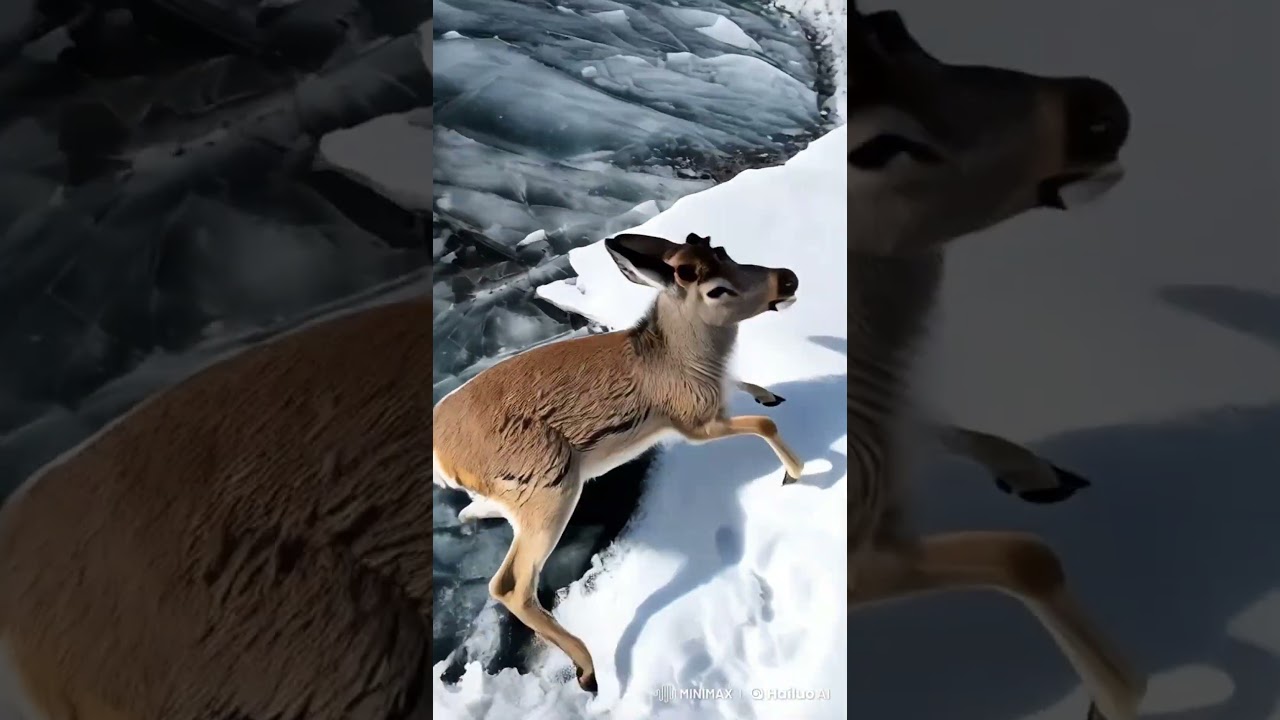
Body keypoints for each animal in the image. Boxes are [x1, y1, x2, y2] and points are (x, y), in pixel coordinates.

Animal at [431, 232, 807, 693]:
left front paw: (770, 394)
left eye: (722, 251)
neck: (679, 358)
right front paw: (795, 474)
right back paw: (588, 671)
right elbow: (765, 424)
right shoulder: (693, 422)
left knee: (475, 519)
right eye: (716, 289)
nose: (787, 278)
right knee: (510, 585)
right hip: (551, 486)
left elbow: (748, 390)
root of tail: (441, 453)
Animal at [839, 7, 1144, 720]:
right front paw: (1113, 700)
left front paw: (1038, 473)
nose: (1100, 111)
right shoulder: (852, 565)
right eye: (874, 147)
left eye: (891, 22)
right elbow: (1026, 555)